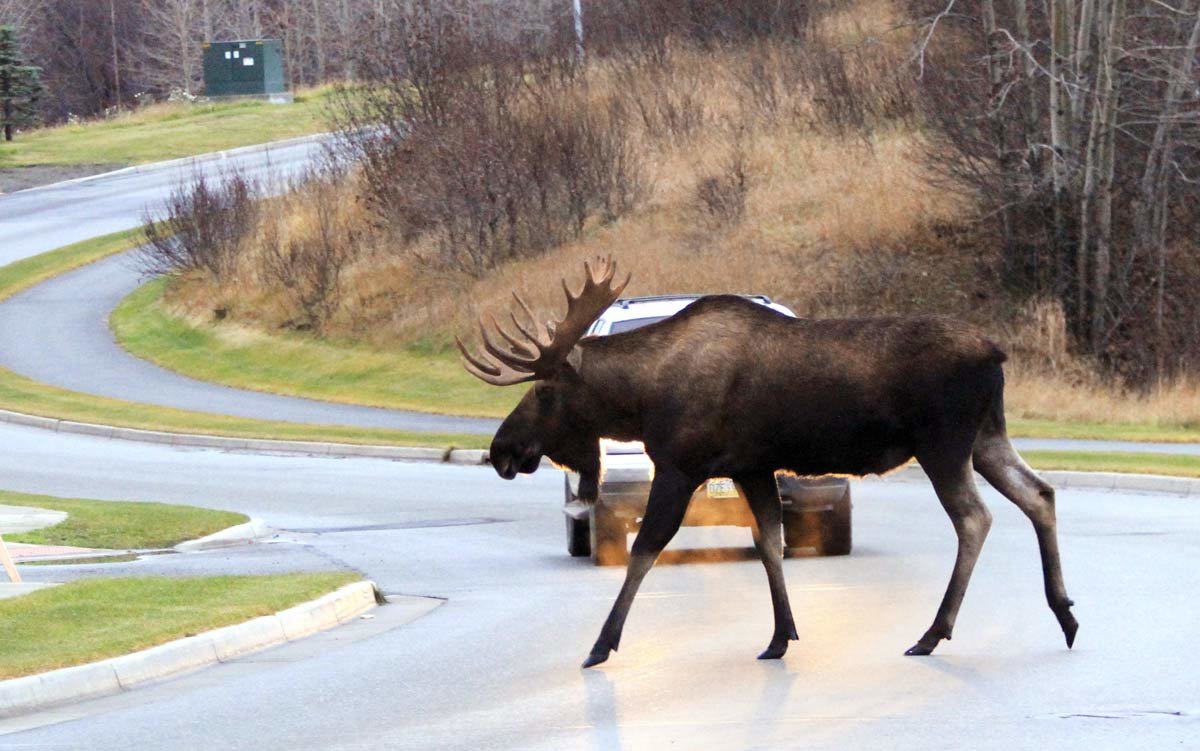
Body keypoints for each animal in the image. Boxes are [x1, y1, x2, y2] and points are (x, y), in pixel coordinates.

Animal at [458, 254, 1080, 662]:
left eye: (543, 392)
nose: (501, 449)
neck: (642, 398)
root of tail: (996, 353)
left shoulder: (682, 465)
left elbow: (645, 549)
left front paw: (601, 645)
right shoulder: (751, 465)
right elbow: (769, 543)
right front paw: (781, 637)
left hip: (943, 444)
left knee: (975, 518)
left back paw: (933, 633)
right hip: (986, 437)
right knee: (1040, 493)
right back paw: (1065, 614)